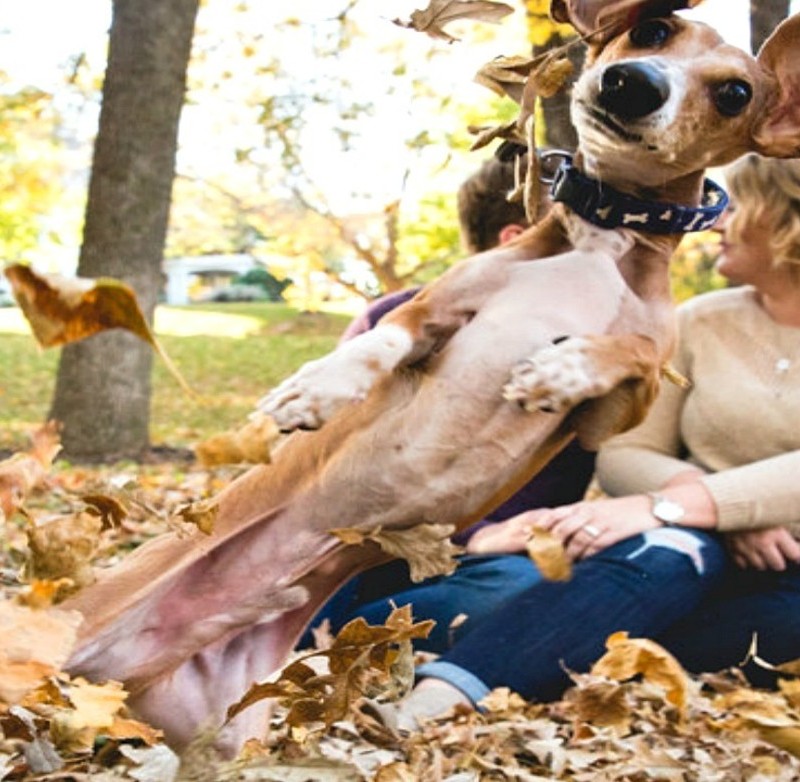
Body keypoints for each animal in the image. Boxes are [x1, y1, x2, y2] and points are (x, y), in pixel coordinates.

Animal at [65, 0, 800, 760]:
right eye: (653, 29)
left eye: (734, 93)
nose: (634, 82)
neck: (604, 237)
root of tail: (125, 677)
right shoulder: (434, 312)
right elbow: (382, 341)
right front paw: (319, 387)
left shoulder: (617, 407)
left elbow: (626, 352)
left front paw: (561, 366)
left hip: (229, 736)